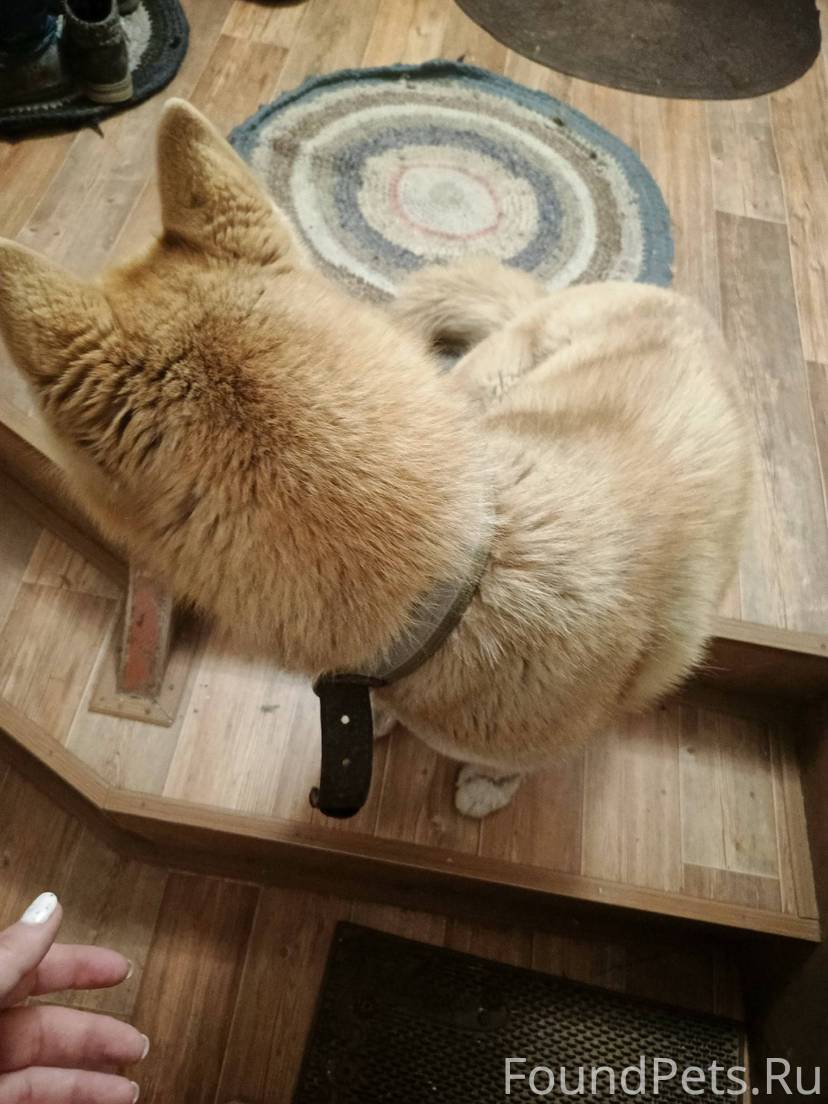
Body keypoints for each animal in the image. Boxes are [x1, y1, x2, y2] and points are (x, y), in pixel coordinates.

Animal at [0, 100, 752, 818]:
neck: (464, 579)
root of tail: (674, 303)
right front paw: (386, 720)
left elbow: (515, 764)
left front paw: (490, 782)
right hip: (490, 374)